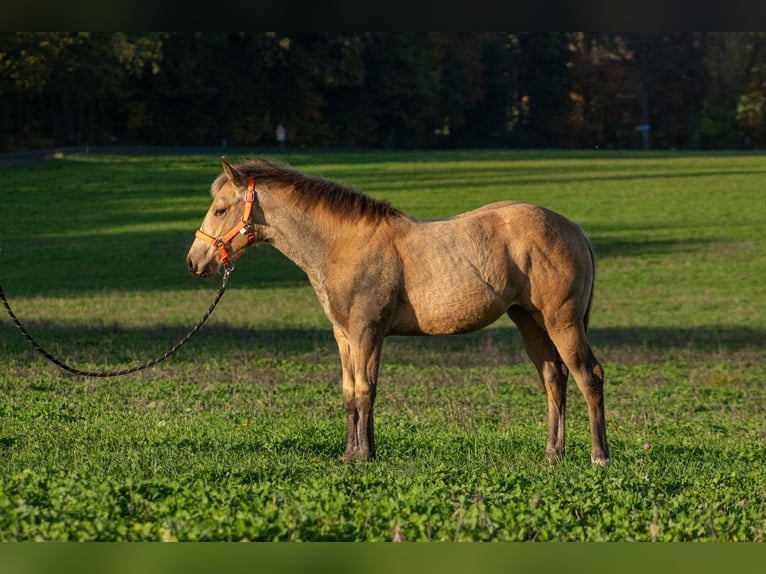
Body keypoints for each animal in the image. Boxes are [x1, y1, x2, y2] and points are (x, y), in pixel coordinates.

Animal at [188, 159, 612, 468]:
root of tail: (575, 230)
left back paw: (599, 456)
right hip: (530, 321)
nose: (195, 261)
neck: (344, 245)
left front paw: (363, 456)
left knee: (589, 377)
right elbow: (349, 393)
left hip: (563, 322)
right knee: (554, 379)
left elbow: (365, 391)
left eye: (220, 209)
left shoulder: (367, 332)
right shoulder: (344, 336)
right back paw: (552, 455)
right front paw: (351, 454)